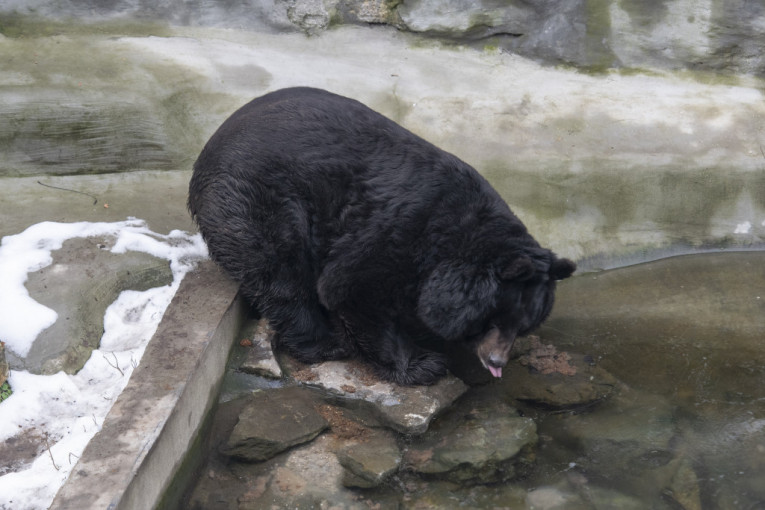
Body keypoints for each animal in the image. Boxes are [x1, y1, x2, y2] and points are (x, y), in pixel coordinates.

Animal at [188, 87, 575, 386]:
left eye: (522, 326)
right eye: (492, 319)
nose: (496, 362)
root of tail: (207, 150)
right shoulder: (395, 233)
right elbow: (351, 289)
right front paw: (422, 364)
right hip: (255, 200)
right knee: (280, 273)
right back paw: (323, 343)